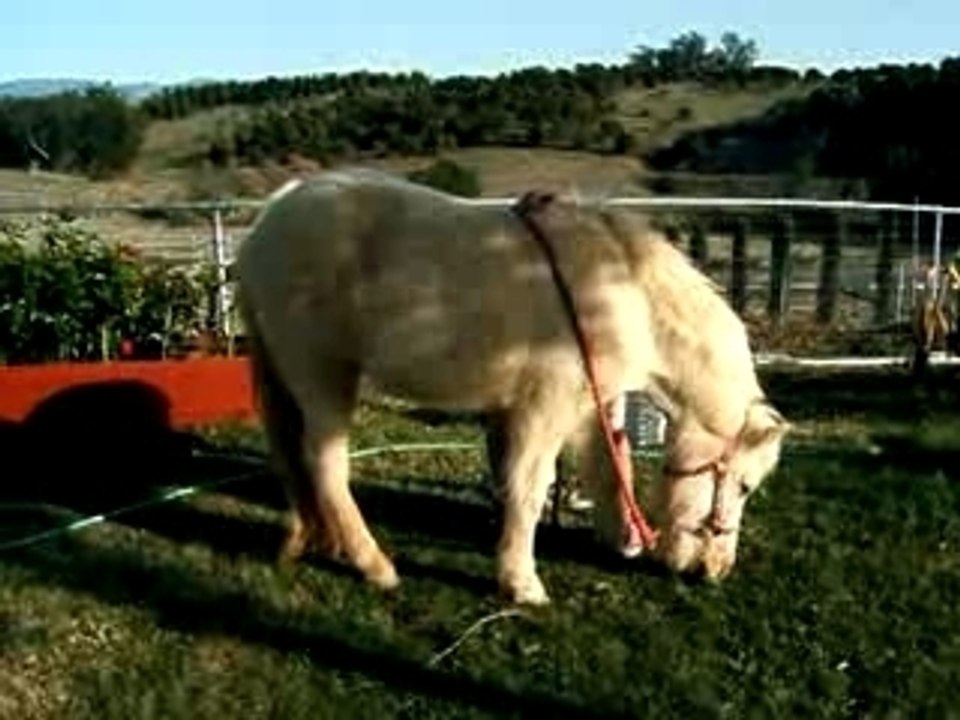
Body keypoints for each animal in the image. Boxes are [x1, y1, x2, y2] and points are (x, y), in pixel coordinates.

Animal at [234, 167, 791, 606]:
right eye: (744, 485)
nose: (714, 571)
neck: (622, 291)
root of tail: (272, 215)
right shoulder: (543, 410)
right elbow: (529, 487)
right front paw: (521, 582)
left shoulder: (588, 407)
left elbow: (608, 468)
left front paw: (620, 538)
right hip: (323, 375)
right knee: (325, 465)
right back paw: (375, 566)